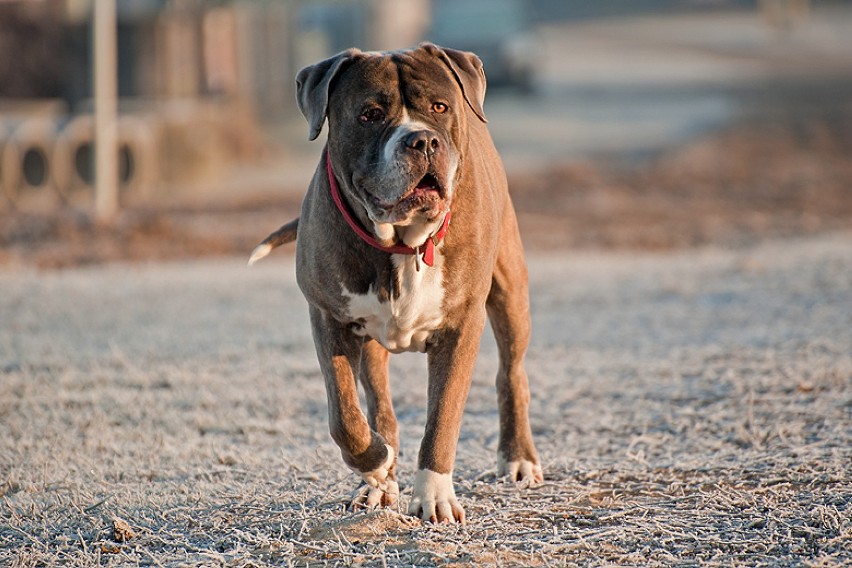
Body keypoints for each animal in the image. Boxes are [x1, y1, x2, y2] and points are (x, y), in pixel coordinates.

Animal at [248, 44, 540, 524]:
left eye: (439, 107)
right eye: (369, 114)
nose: (421, 140)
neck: (403, 242)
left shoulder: (460, 329)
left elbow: (442, 417)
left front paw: (434, 496)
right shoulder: (329, 320)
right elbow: (345, 417)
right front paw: (377, 466)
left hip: (510, 292)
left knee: (510, 373)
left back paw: (518, 458)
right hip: (372, 343)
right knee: (379, 405)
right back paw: (378, 482)